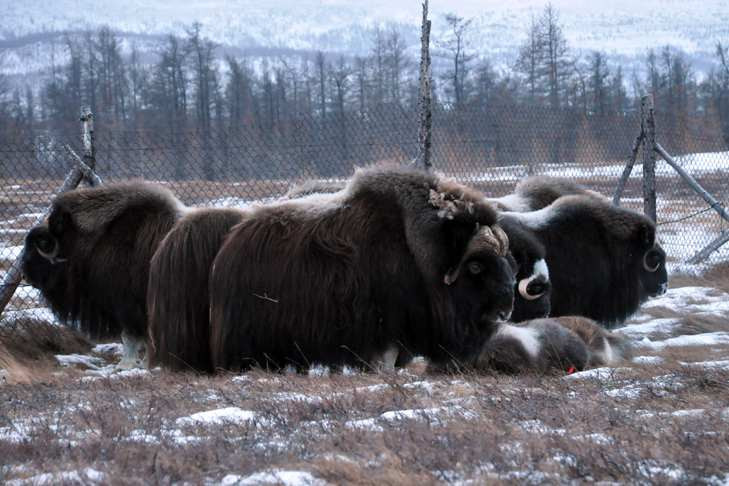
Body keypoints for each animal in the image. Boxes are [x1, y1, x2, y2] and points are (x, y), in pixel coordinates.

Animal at [208, 167, 516, 372]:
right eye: (475, 265)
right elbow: (385, 359)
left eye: (506, 262)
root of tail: (231, 242)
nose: (505, 311)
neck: (417, 252)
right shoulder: (385, 326)